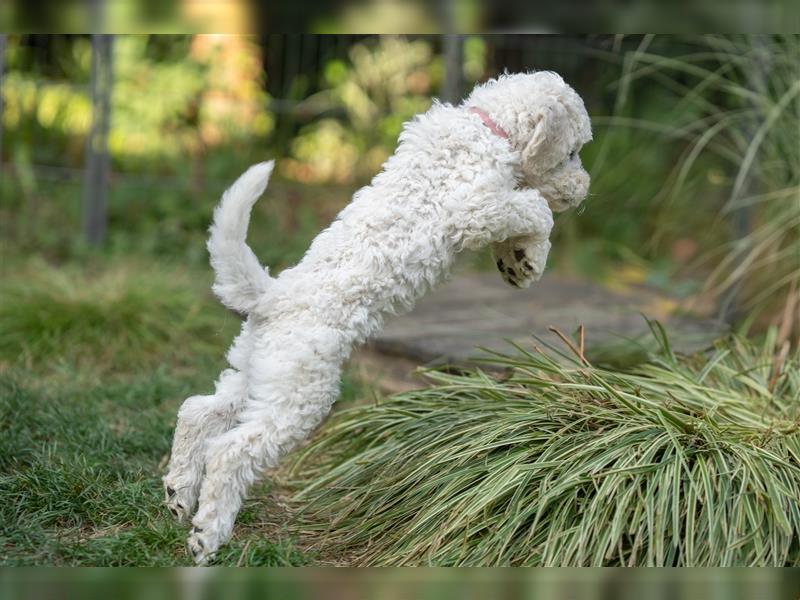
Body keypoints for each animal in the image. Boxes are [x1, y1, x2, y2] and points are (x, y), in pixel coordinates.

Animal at [162, 71, 592, 564]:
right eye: (572, 152)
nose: (584, 189)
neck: (488, 128)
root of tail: (273, 296)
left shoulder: (489, 206)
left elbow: (525, 214)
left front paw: (519, 262)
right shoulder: (474, 209)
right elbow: (534, 208)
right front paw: (531, 256)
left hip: (259, 373)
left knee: (199, 411)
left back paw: (178, 494)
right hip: (298, 394)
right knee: (231, 451)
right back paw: (207, 535)